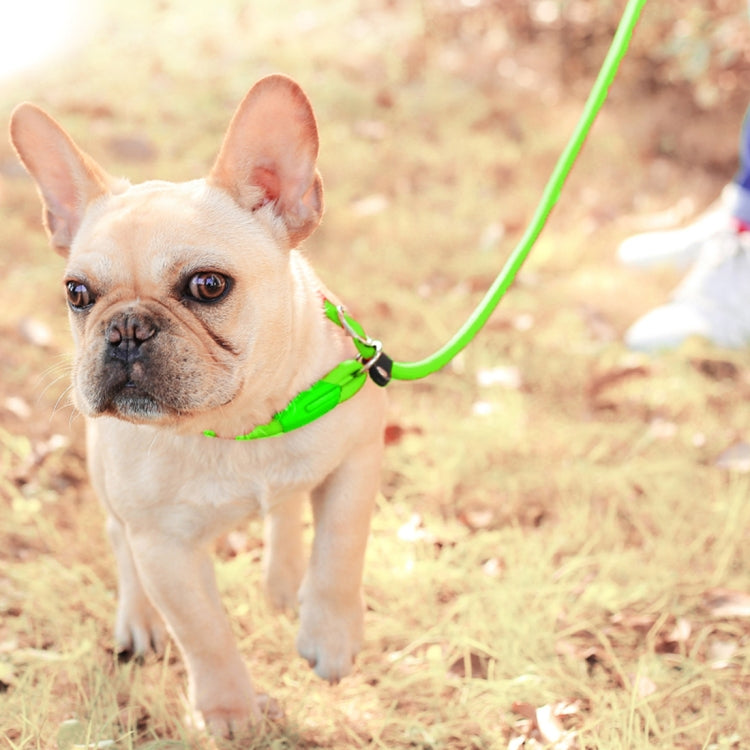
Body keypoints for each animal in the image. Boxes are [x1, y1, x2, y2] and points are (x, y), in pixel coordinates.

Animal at [8, 78, 388, 740]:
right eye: (77, 293)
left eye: (208, 286)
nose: (127, 327)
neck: (239, 423)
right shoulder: (163, 545)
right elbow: (203, 631)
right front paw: (230, 709)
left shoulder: (357, 456)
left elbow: (342, 546)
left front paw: (331, 635)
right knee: (119, 540)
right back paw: (140, 620)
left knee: (288, 512)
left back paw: (286, 583)